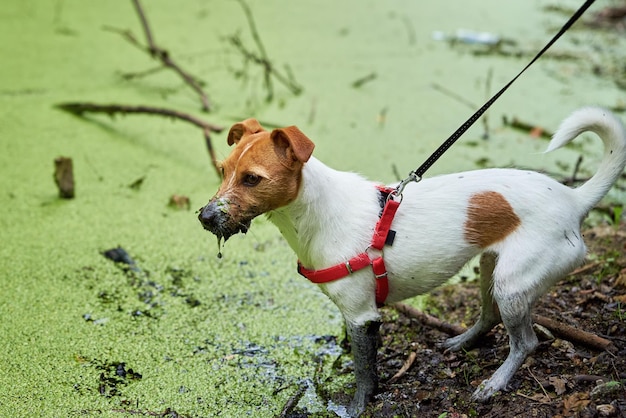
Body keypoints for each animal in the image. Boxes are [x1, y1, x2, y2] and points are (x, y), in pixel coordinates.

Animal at [199, 108, 624, 414]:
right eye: (223, 170)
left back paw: (495, 383)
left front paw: (356, 408)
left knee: (526, 342)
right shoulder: (353, 315)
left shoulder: (362, 317)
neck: (318, 214)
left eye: (252, 179)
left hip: (513, 283)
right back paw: (461, 343)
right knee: (488, 317)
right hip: (492, 268)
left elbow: (364, 373)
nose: (204, 217)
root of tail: (573, 199)